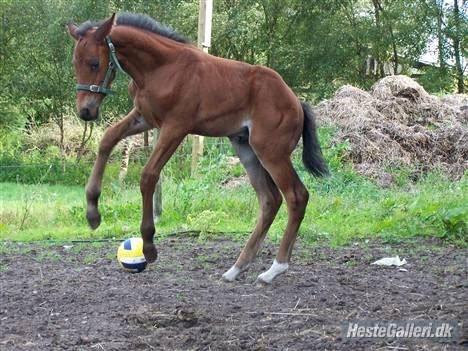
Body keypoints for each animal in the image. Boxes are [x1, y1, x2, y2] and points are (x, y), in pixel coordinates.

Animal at [67, 12, 328, 284]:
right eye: (75, 63)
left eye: (94, 63)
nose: (86, 111)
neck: (159, 69)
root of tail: (296, 102)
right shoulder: (144, 118)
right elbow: (107, 139)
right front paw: (93, 213)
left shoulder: (175, 127)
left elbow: (148, 175)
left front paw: (149, 245)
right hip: (245, 148)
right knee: (269, 199)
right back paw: (237, 268)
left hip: (271, 152)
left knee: (296, 196)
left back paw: (275, 269)